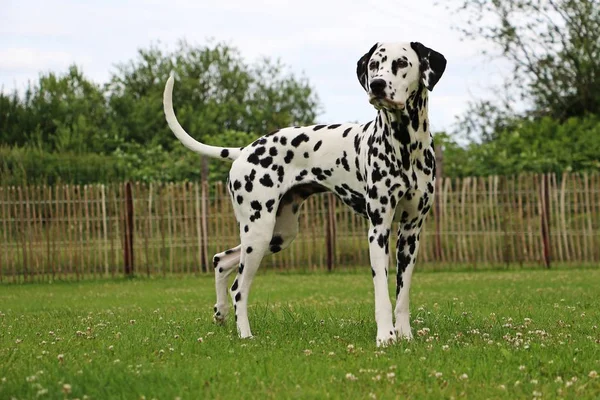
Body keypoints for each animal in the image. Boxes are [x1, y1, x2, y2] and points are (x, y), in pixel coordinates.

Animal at [164, 41, 446, 346]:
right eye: (374, 65)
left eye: (402, 63)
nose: (377, 84)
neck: (406, 146)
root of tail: (244, 150)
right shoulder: (378, 230)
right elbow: (382, 294)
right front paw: (385, 337)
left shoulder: (410, 233)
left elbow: (402, 295)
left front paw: (405, 335)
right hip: (258, 232)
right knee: (238, 287)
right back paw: (245, 335)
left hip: (278, 235)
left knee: (221, 260)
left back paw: (220, 313)